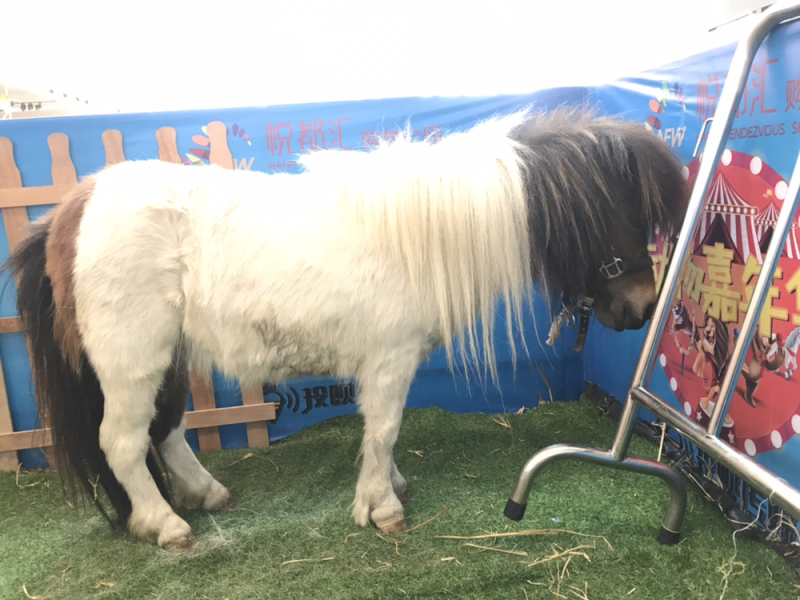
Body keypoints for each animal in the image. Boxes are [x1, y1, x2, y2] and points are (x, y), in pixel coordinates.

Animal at [5, 107, 688, 550]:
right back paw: (165, 526)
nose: (642, 308)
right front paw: (381, 507)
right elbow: (383, 428)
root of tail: (71, 208)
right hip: (132, 361)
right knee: (122, 442)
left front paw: (390, 487)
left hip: (170, 355)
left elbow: (384, 431)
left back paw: (206, 495)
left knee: (167, 429)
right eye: (626, 214)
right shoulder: (390, 358)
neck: (424, 236)